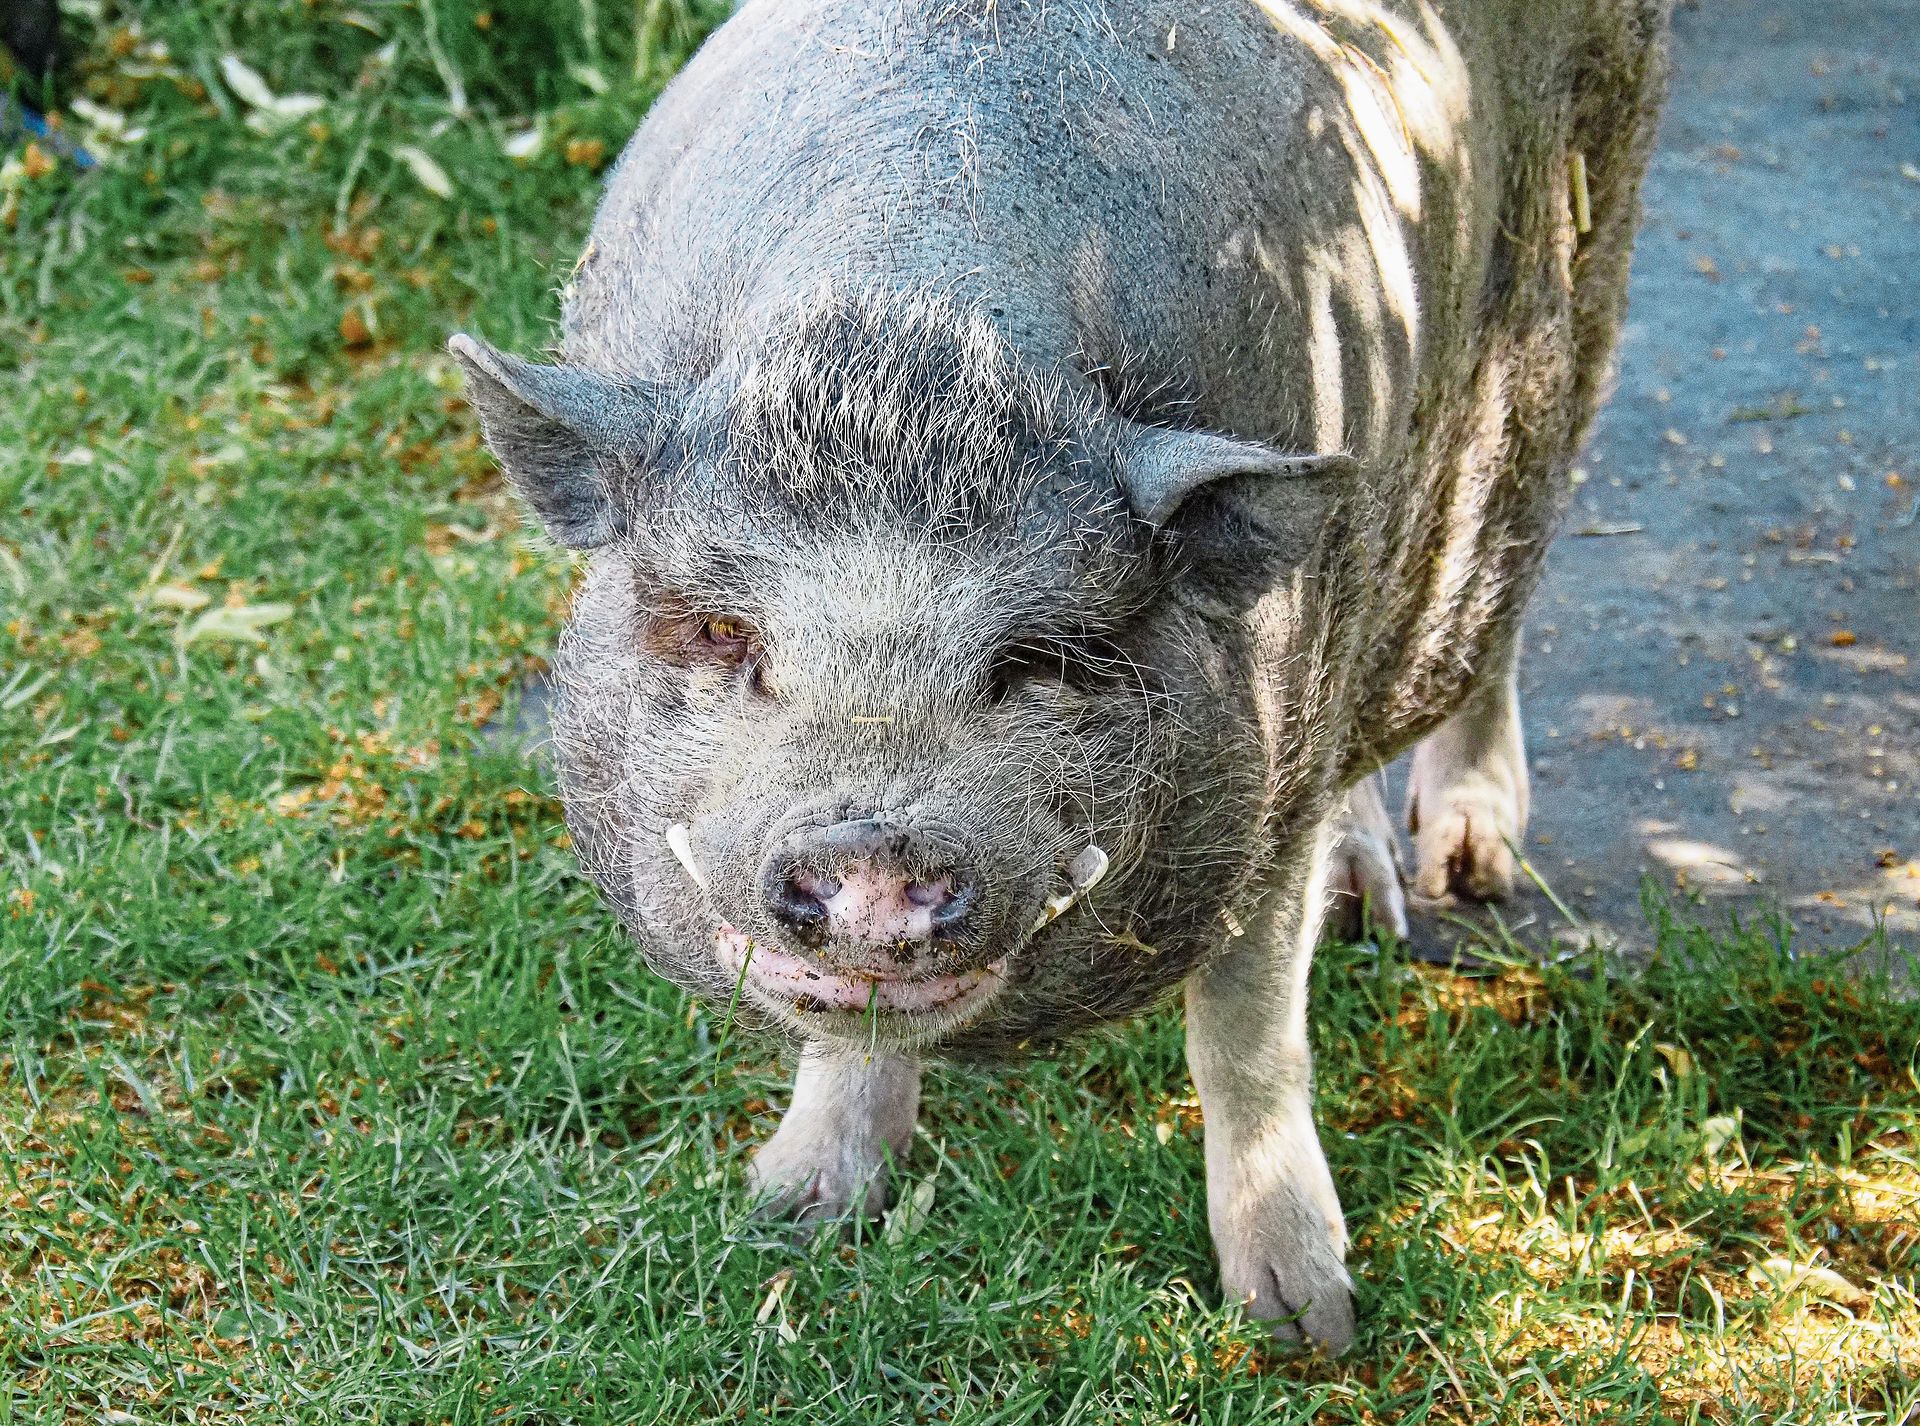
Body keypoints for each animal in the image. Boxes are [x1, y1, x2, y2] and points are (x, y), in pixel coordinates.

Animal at [449, 0, 1670, 1353]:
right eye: (724, 634)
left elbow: (1246, 1030)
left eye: (1034, 659)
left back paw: (1466, 868)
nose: (876, 853)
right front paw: (787, 1216)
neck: (909, 331)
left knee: (1500, 585)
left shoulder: (1278, 754)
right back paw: (1369, 906)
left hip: (1563, 312)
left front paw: (1304, 1326)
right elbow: (843, 1030)